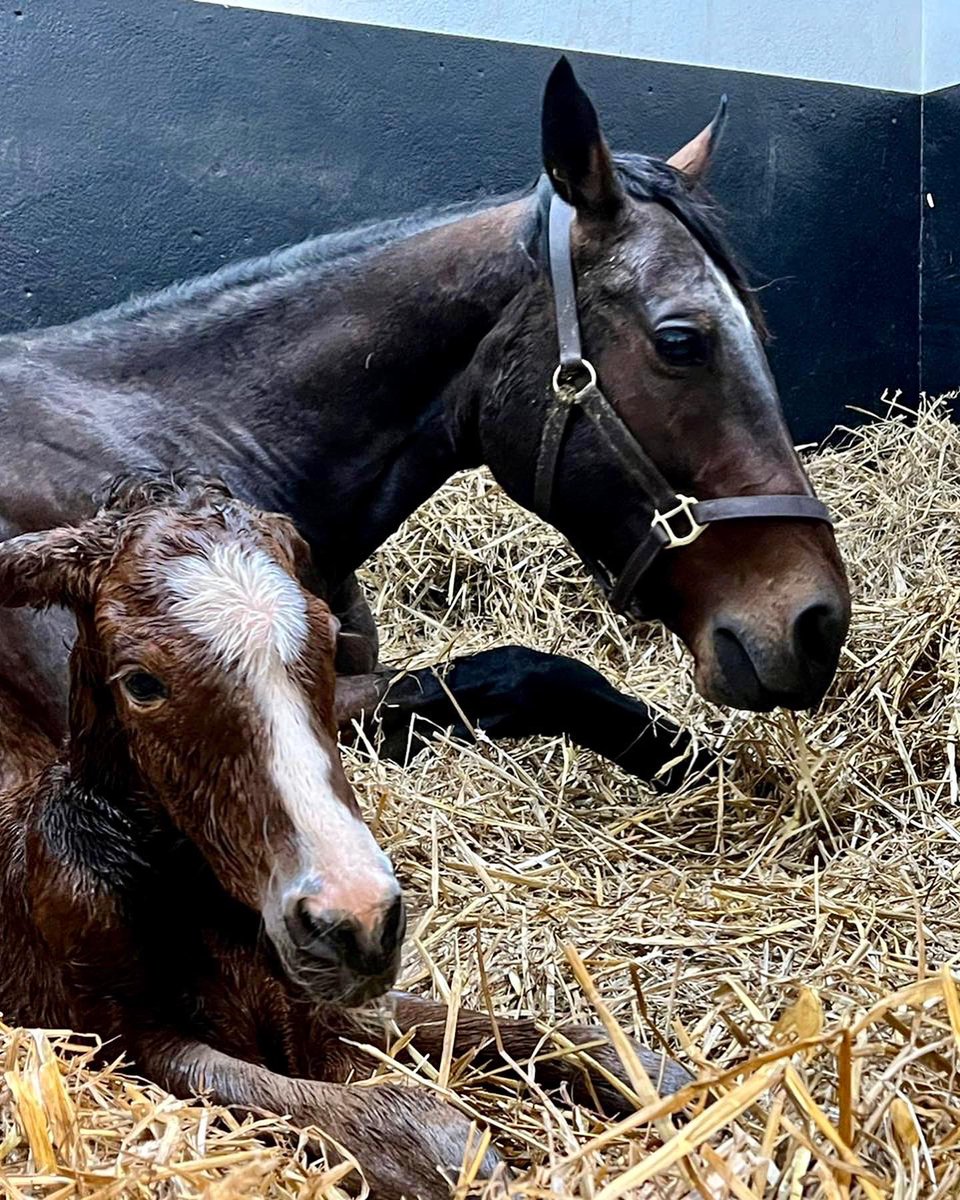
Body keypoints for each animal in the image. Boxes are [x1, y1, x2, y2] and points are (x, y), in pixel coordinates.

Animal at [0, 474, 691, 1199]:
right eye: (140, 682)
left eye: (329, 641)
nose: (357, 920)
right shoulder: (130, 1040)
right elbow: (411, 1131)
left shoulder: (329, 1005)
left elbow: (551, 1038)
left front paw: (661, 1082)